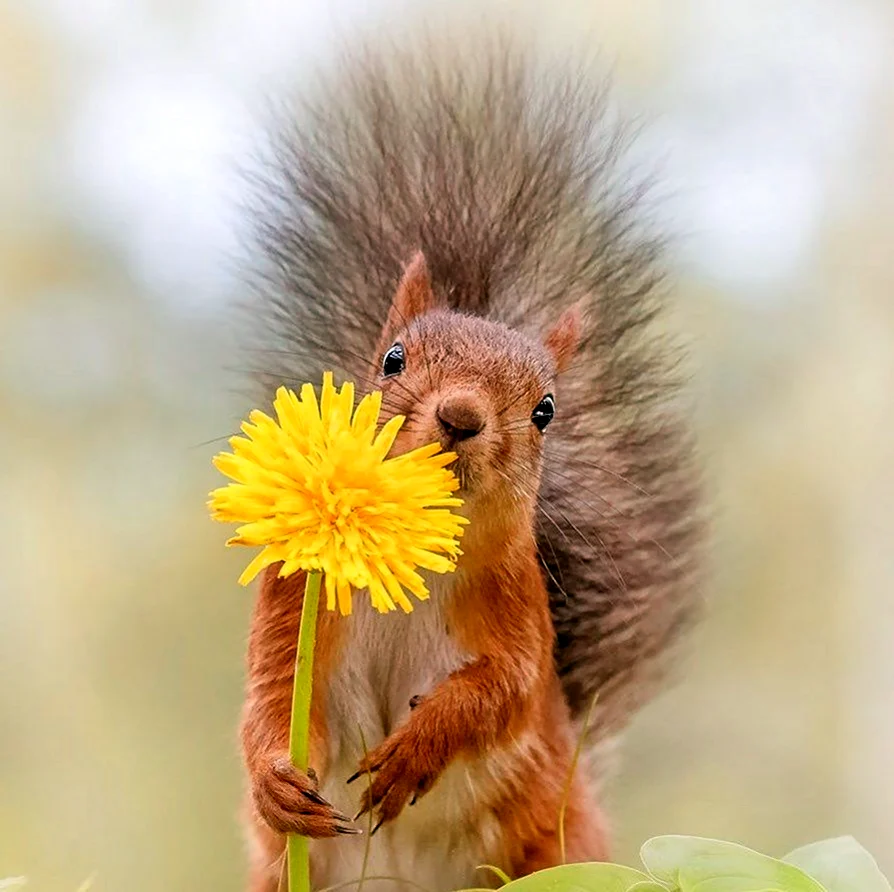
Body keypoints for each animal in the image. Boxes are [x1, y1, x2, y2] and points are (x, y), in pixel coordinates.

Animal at [238, 31, 700, 892]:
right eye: (391, 359)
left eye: (546, 410)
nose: (460, 417)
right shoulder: (295, 599)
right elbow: (274, 693)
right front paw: (272, 780)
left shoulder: (517, 609)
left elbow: (500, 693)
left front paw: (416, 751)